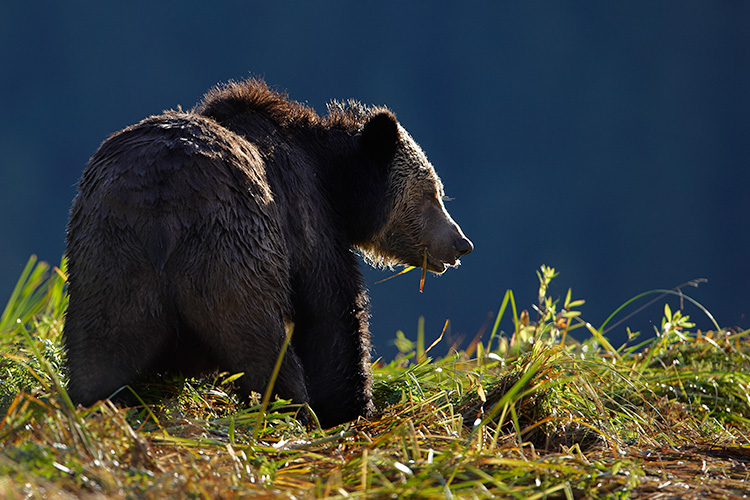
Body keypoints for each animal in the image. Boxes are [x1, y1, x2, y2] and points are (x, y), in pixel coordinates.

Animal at [64, 78, 473, 428]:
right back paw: (291, 413)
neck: (332, 177)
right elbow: (331, 312)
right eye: (432, 193)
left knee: (99, 351)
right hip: (233, 251)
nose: (461, 244)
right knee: (265, 348)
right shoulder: (306, 217)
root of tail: (164, 211)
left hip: (110, 259)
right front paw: (351, 408)